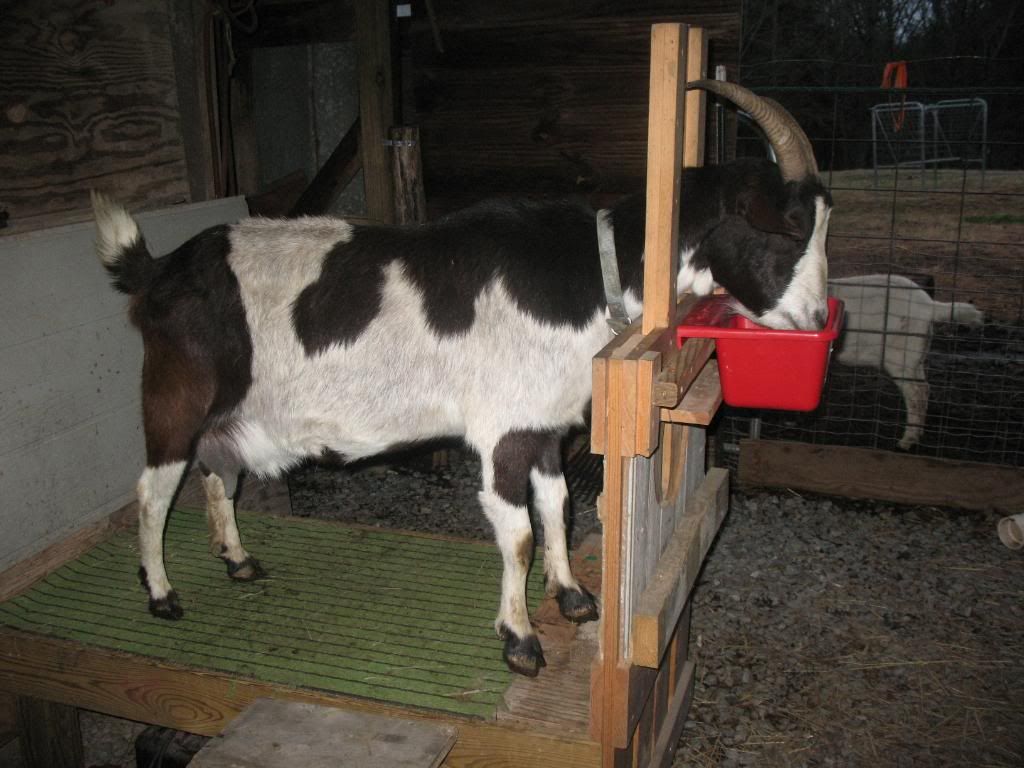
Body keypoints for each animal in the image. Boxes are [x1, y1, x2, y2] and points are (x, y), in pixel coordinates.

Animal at [92, 80, 831, 677]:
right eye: (790, 227)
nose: (819, 316)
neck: (594, 274)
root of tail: (158, 270)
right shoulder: (502, 429)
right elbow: (520, 532)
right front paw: (521, 640)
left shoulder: (543, 424)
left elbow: (557, 507)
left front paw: (573, 596)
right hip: (175, 397)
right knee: (153, 490)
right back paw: (161, 594)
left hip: (230, 410)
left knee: (220, 471)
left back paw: (237, 559)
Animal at [829, 274, 983, 450]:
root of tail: (929, 306)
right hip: (915, 355)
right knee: (924, 388)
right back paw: (918, 433)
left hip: (898, 356)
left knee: (914, 393)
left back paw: (907, 441)